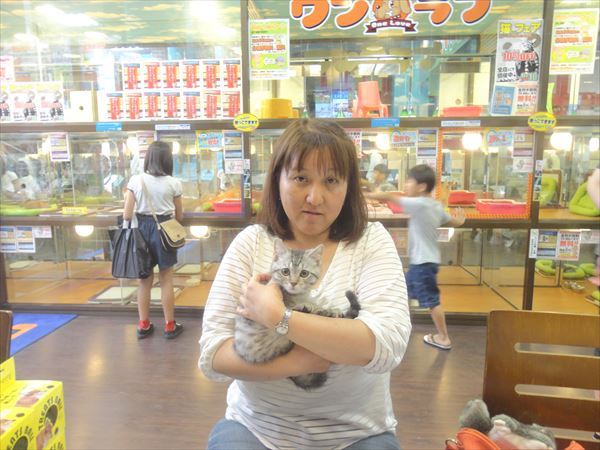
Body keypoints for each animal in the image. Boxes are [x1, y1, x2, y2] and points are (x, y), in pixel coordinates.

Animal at [233, 238, 360, 390]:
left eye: (304, 273)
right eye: (285, 271)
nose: (293, 283)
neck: (297, 297)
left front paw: (328, 309)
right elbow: (304, 306)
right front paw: (317, 307)